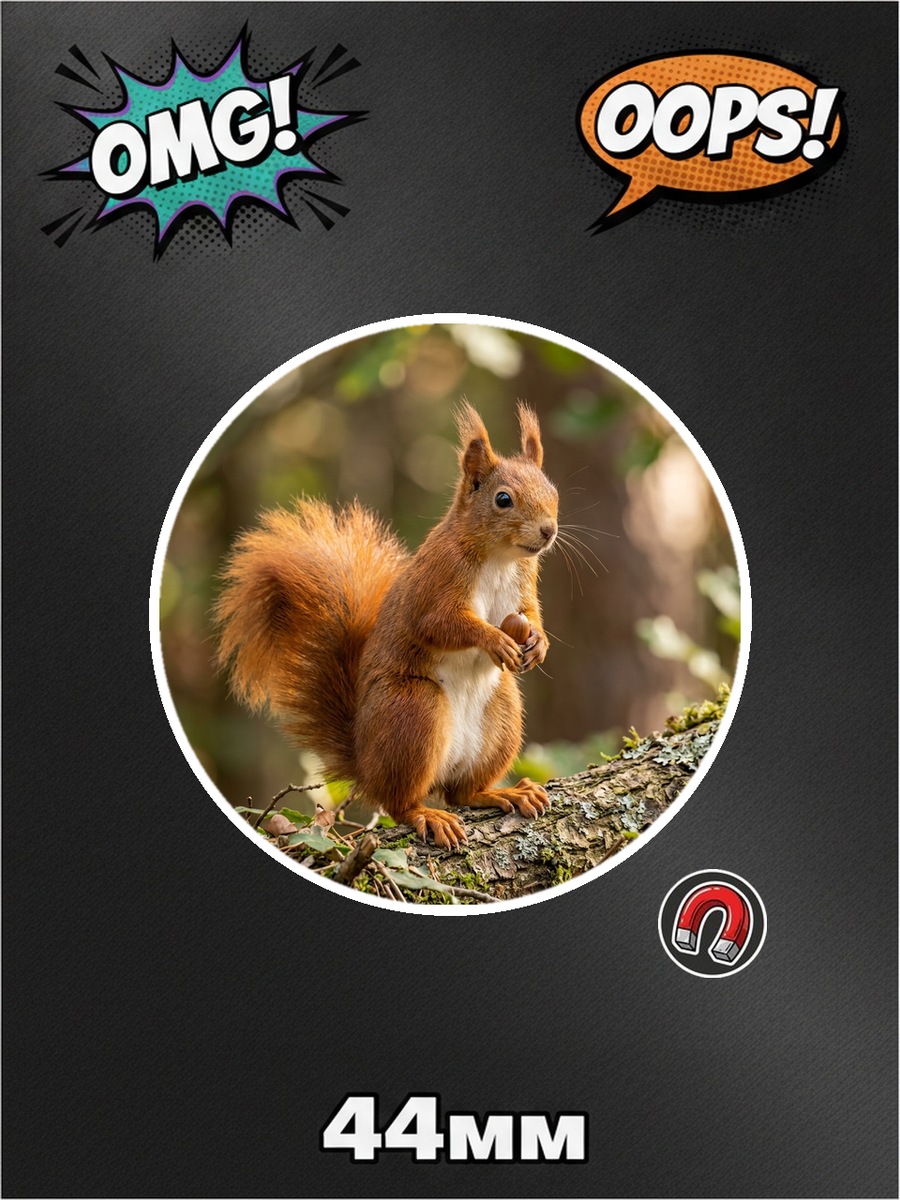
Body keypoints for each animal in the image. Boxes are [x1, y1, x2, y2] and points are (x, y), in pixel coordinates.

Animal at [214, 401, 559, 850]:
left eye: (553, 491)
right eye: (503, 499)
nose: (549, 531)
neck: (500, 558)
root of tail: (366, 763)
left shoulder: (525, 584)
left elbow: (531, 614)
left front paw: (538, 643)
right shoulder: (436, 583)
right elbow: (440, 624)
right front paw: (494, 639)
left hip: (502, 713)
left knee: (463, 792)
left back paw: (503, 792)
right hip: (413, 711)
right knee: (401, 802)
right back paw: (427, 814)